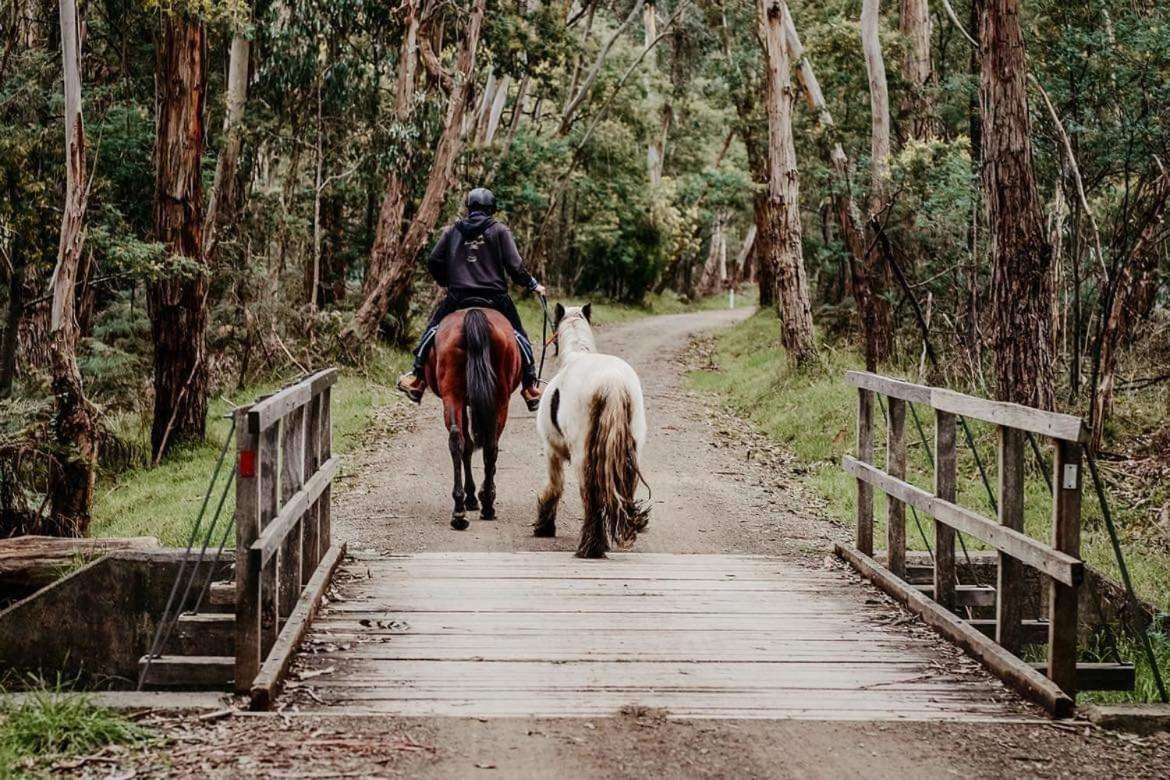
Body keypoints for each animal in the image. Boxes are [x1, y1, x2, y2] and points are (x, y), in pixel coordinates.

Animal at [425, 304, 521, 530]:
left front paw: (471, 497)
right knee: (489, 445)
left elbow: (467, 446)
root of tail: (473, 312)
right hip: (499, 400)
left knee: (457, 440)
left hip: (453, 396)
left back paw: (460, 510)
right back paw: (486, 504)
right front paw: (476, 496)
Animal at [533, 301, 650, 558]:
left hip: (582, 455)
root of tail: (613, 384)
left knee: (591, 497)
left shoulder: (551, 450)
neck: (576, 353)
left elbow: (555, 486)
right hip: (630, 452)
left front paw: (544, 525)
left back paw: (591, 547)